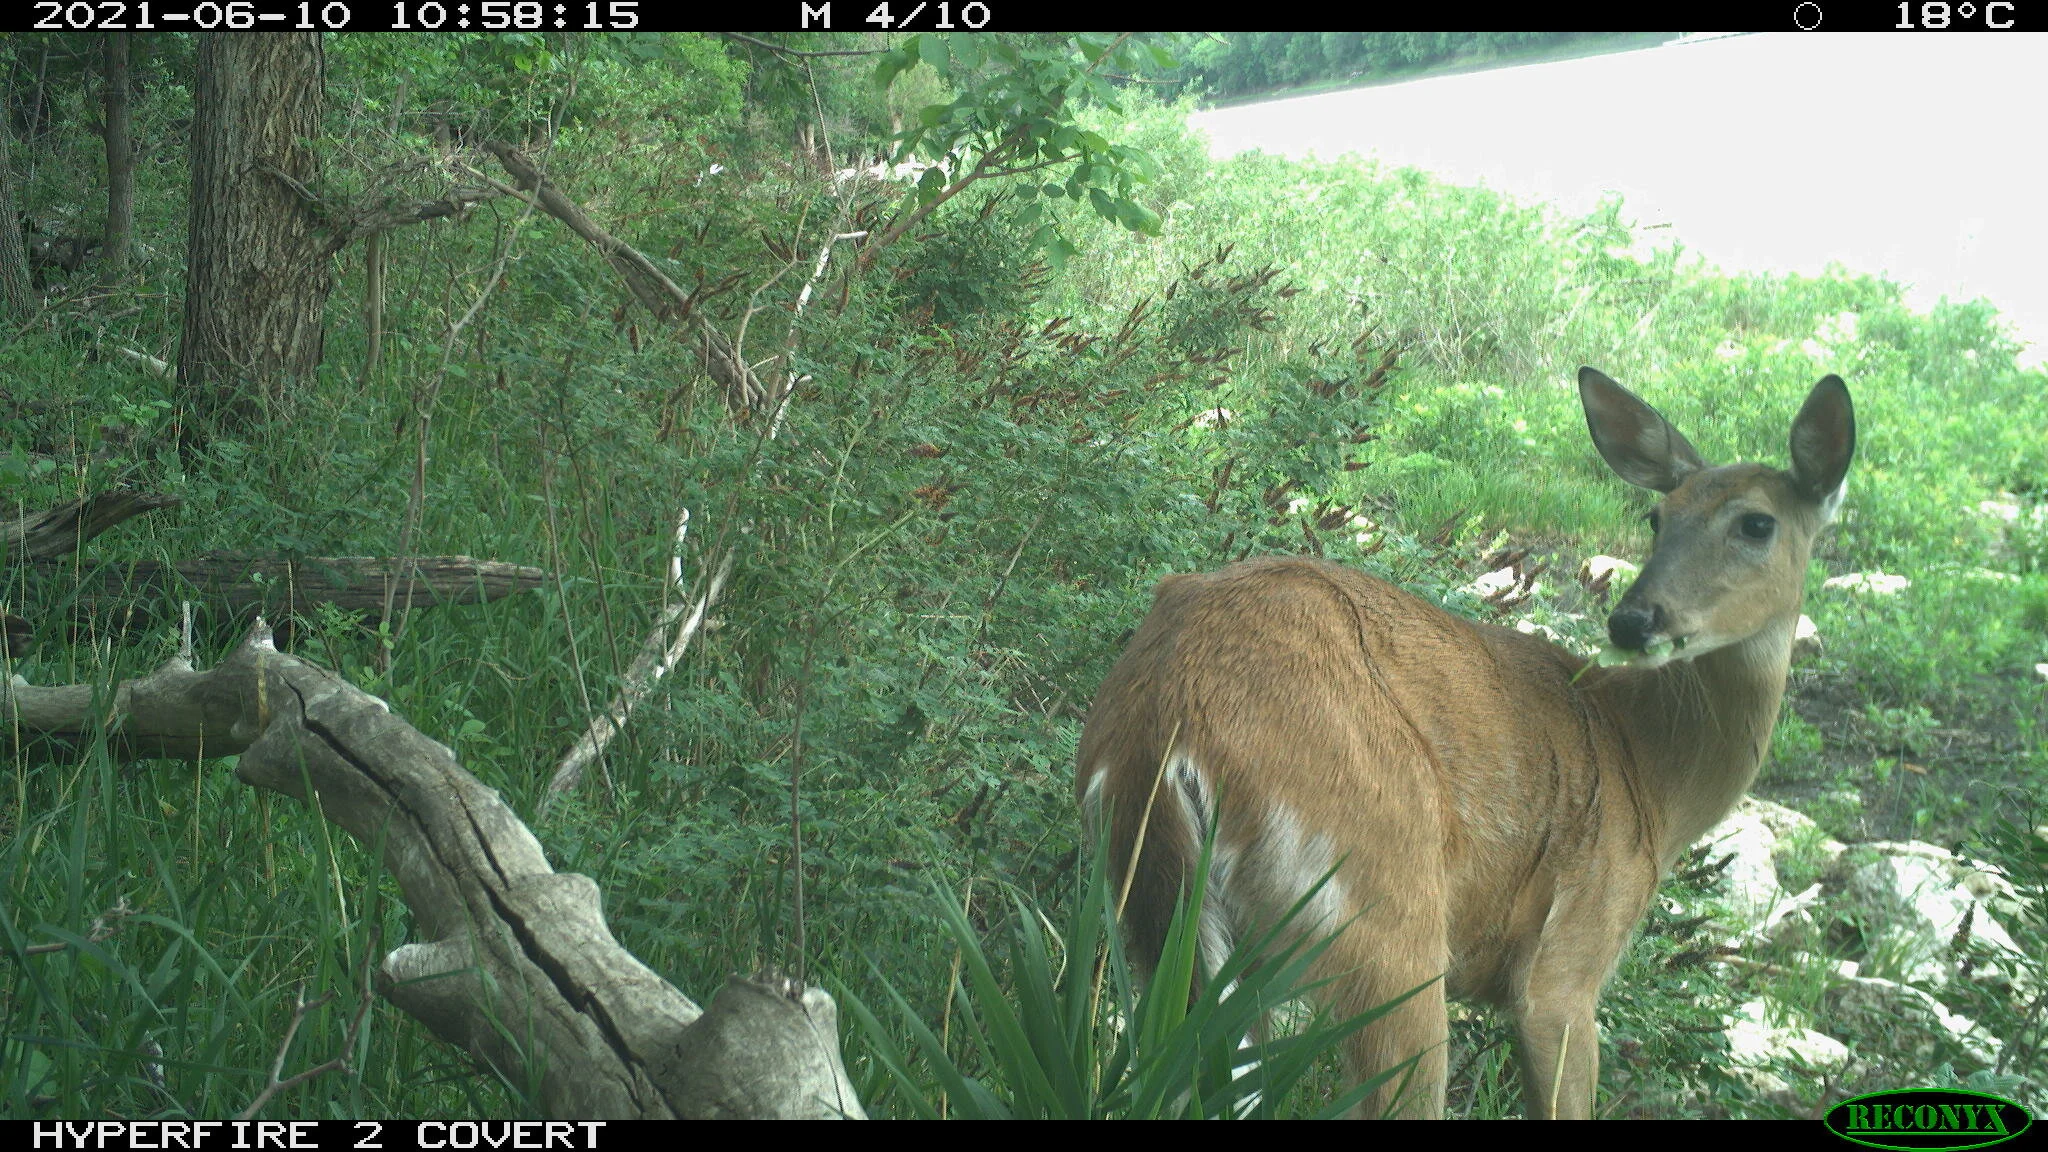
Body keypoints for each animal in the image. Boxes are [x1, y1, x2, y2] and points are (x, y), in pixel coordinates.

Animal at [1077, 367, 1855, 1119]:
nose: (1635, 620)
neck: (1649, 776)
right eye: (1658, 516)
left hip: (1177, 942)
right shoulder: (1565, 966)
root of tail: (1166, 724)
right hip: (1384, 917)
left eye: (1757, 523)